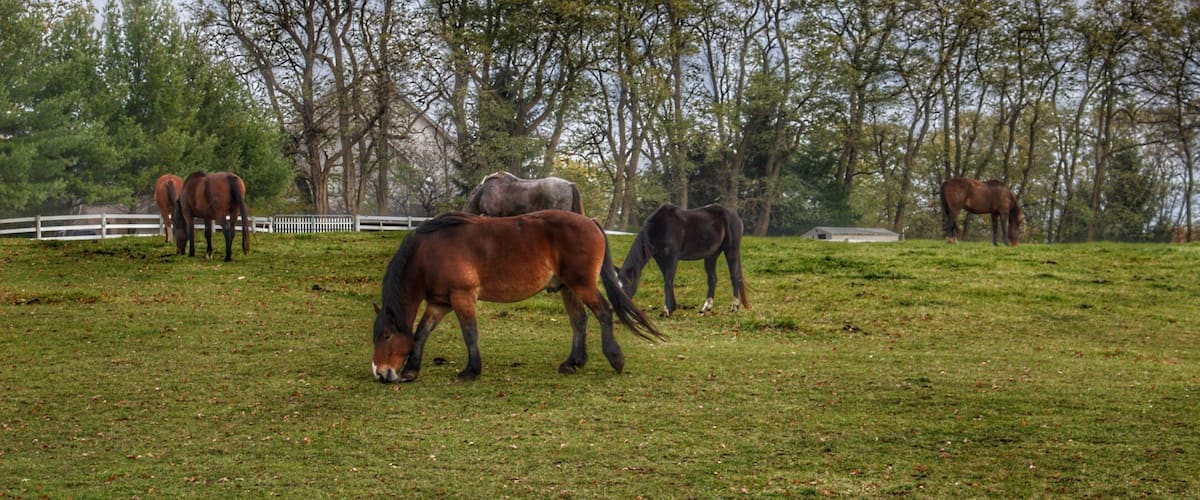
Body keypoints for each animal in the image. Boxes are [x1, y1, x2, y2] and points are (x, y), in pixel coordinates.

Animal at [371, 210, 663, 383]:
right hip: (568, 288)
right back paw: (573, 362)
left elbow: (469, 333)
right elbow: (421, 332)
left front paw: (471, 370)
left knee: (603, 311)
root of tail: (589, 221)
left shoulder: (462, 297)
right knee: (579, 320)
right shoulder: (439, 302)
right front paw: (411, 369)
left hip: (581, 285)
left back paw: (615, 358)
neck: (430, 253)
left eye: (386, 336)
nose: (381, 373)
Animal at [617, 204, 750, 317]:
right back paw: (705, 308)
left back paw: (734, 307)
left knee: (734, 276)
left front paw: (667, 310)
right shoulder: (660, 259)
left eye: (627, 286)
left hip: (731, 250)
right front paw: (672, 308)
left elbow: (668, 281)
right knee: (712, 279)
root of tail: (735, 216)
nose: (621, 309)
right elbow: (667, 280)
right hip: (711, 255)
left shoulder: (672, 258)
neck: (661, 227)